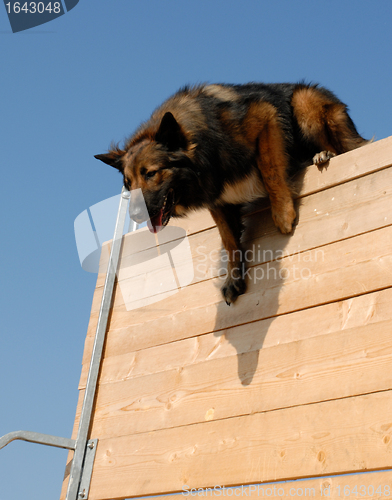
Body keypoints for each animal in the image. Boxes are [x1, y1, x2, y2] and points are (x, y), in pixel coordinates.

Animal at [95, 83, 368, 304]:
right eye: (128, 183)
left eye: (151, 173)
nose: (135, 215)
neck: (206, 141)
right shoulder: (217, 198)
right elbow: (229, 241)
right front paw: (233, 278)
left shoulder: (265, 116)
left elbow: (269, 167)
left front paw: (282, 212)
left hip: (303, 101)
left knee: (341, 147)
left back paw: (323, 154)